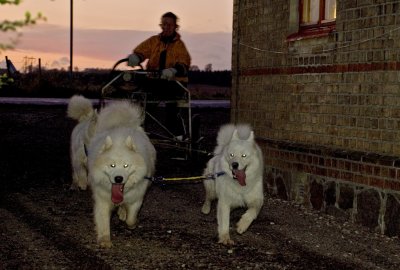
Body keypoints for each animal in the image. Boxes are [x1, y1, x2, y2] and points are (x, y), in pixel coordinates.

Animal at [87, 100, 156, 248]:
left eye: (126, 166)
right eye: (112, 165)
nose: (118, 178)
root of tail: (121, 123)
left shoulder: (137, 197)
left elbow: (131, 217)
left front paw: (131, 223)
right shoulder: (102, 199)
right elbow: (103, 220)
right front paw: (105, 240)